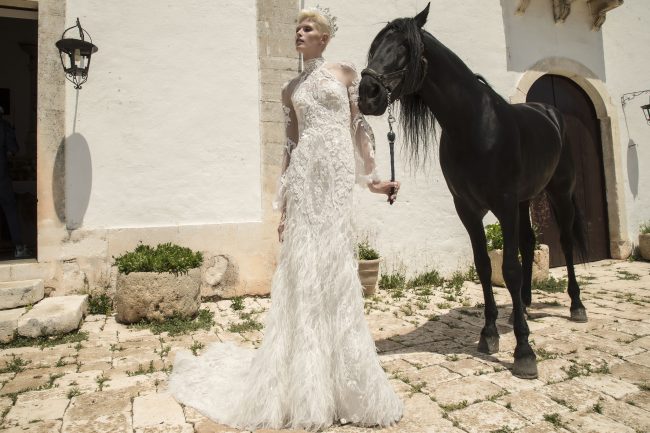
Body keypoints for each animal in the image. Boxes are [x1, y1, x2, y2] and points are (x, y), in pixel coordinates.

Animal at [357, 3, 588, 379]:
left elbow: (508, 268)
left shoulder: (503, 204)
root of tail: (550, 112)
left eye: (405, 47)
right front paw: (490, 333)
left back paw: (576, 306)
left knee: (565, 244)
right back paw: (523, 306)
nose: (367, 94)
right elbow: (483, 266)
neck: (475, 125)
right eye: (375, 47)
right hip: (524, 200)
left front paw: (524, 351)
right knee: (528, 242)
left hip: (559, 193)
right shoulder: (467, 208)